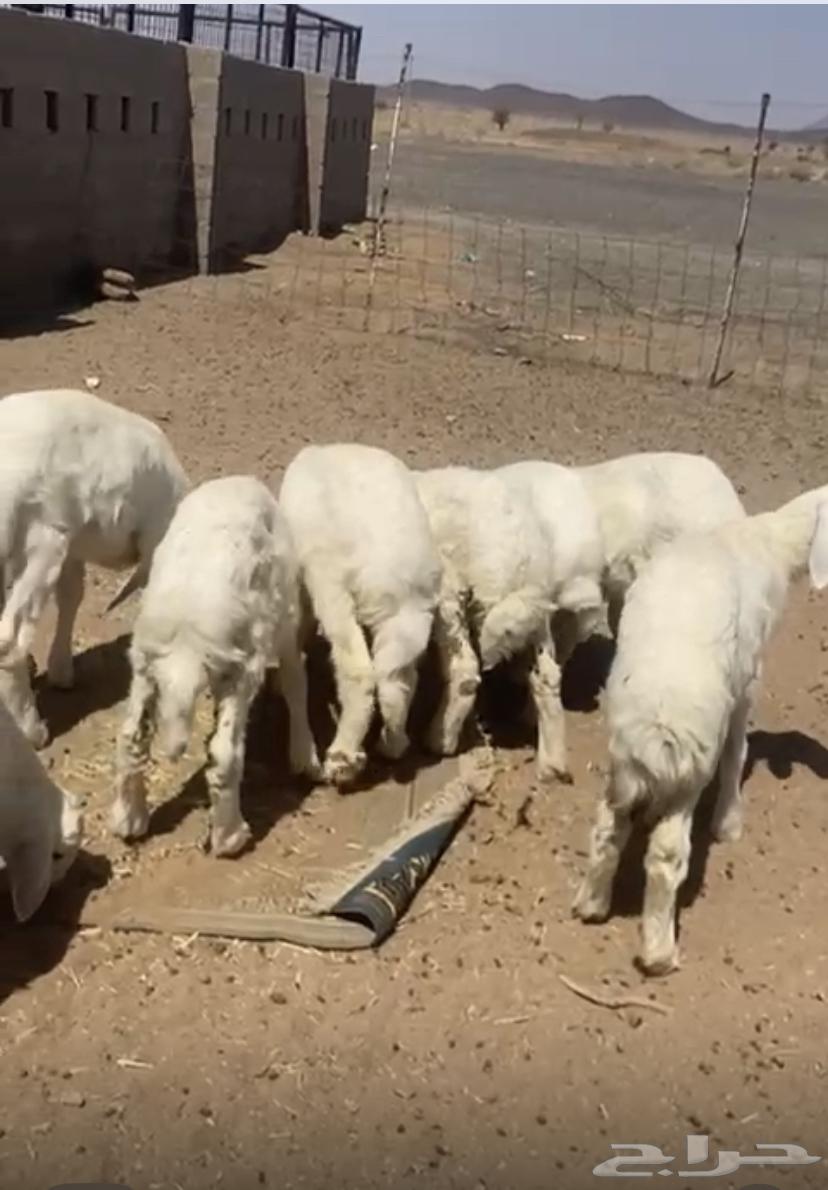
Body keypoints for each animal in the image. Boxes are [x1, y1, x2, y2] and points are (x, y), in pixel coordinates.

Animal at [0, 388, 188, 749]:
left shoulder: (73, 542)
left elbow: (72, 594)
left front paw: (61, 671)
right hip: (42, 539)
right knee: (10, 638)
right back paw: (32, 731)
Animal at [110, 476, 320, 858]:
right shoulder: (285, 621)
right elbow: (296, 682)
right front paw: (306, 757)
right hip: (241, 668)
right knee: (224, 754)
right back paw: (230, 836)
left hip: (145, 664)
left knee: (131, 736)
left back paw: (128, 819)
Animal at [279, 444, 441, 787]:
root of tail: (388, 569)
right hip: (410, 615)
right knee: (398, 679)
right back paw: (392, 742)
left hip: (333, 588)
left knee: (359, 670)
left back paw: (341, 758)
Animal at [415, 461, 604, 782]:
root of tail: (519, 555)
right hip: (536, 614)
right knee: (547, 676)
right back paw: (552, 763)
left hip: (452, 595)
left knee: (464, 670)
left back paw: (440, 739)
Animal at [572, 484, 828, 976]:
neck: (770, 542)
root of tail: (655, 714)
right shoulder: (748, 677)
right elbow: (737, 751)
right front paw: (729, 823)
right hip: (688, 766)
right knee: (666, 856)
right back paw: (659, 952)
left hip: (620, 756)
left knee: (607, 828)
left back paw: (591, 904)